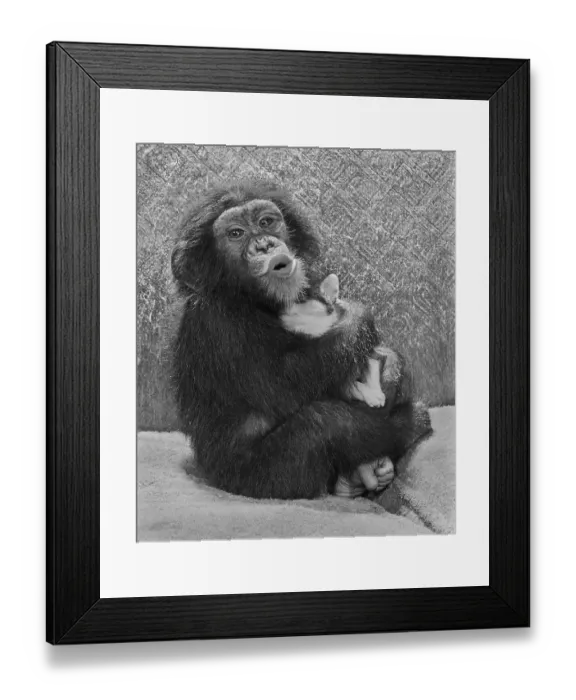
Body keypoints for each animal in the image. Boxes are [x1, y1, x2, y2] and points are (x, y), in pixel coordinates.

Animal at [171, 179, 431, 500]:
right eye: (236, 234)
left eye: (266, 222)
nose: (264, 244)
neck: (250, 297)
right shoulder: (216, 323)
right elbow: (283, 383)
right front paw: (357, 316)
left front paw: (391, 370)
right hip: (262, 479)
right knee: (325, 420)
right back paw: (408, 426)